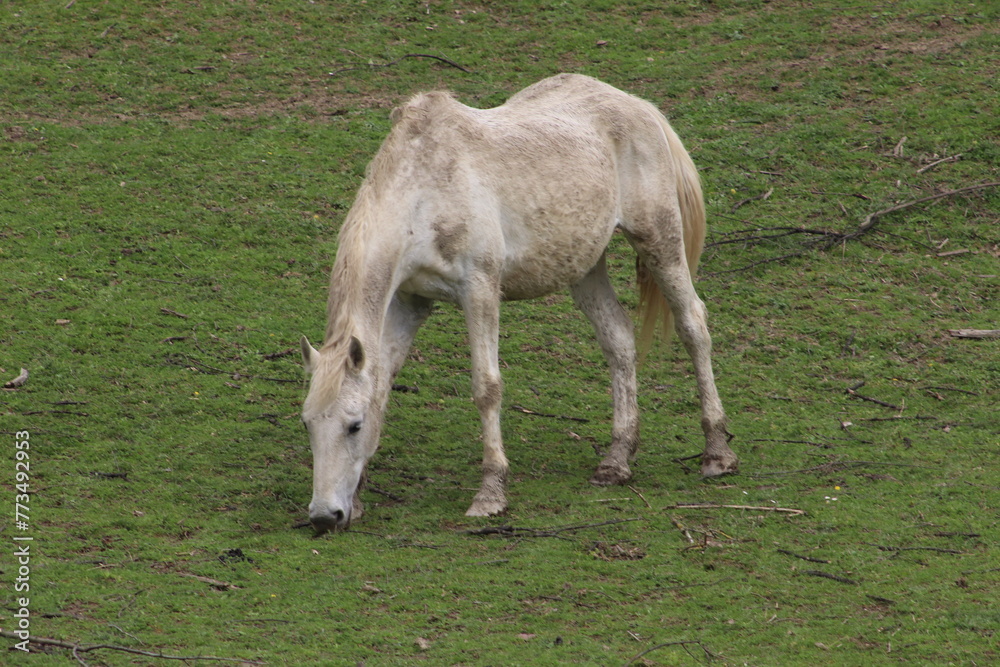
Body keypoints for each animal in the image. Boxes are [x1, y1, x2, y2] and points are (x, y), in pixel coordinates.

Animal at [299, 73, 737, 534]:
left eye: (354, 426)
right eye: (308, 424)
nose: (325, 516)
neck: (424, 192)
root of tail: (639, 106)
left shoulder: (479, 290)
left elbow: (486, 388)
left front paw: (491, 493)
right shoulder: (408, 301)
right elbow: (381, 385)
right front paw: (359, 498)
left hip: (658, 240)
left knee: (693, 325)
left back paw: (717, 453)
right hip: (585, 266)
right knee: (619, 340)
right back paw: (616, 461)